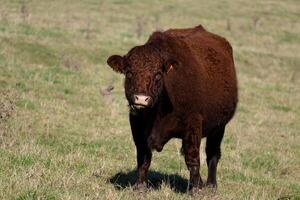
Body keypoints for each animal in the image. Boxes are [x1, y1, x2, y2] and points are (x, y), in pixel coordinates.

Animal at [106, 25, 238, 192]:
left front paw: (196, 189)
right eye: (129, 73)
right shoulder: (136, 125)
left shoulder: (193, 124)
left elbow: (192, 158)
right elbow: (143, 157)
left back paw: (211, 185)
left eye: (158, 75)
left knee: (212, 154)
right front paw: (140, 186)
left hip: (219, 127)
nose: (141, 99)